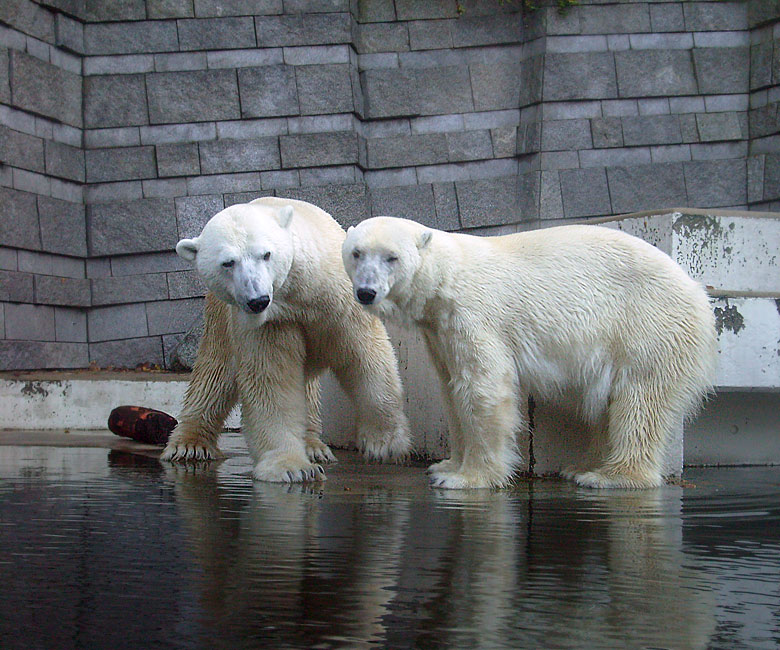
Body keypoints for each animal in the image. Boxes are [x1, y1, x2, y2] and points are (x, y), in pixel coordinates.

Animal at [162, 197, 412, 480]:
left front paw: (386, 445)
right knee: (215, 374)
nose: (258, 299)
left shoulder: (339, 301)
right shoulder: (270, 323)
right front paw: (291, 468)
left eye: (266, 254)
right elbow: (271, 382)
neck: (299, 295)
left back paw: (315, 447)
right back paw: (189, 445)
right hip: (221, 317)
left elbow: (366, 357)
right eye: (228, 262)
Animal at [342, 215, 720, 488]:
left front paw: (467, 478)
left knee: (640, 399)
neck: (446, 279)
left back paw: (610, 476)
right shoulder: (438, 330)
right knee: (611, 403)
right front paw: (445, 465)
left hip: (647, 325)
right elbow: (451, 391)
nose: (366, 292)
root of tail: (697, 291)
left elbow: (482, 387)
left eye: (392, 257)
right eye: (356, 253)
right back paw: (581, 466)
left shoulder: (474, 314)